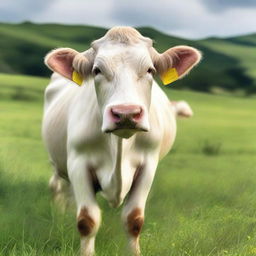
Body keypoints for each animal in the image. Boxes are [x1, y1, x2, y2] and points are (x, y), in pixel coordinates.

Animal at [42, 27, 202, 255]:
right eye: (97, 70)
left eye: (150, 70)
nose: (126, 113)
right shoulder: (78, 163)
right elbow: (87, 220)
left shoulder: (147, 165)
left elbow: (133, 220)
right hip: (59, 162)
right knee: (58, 187)